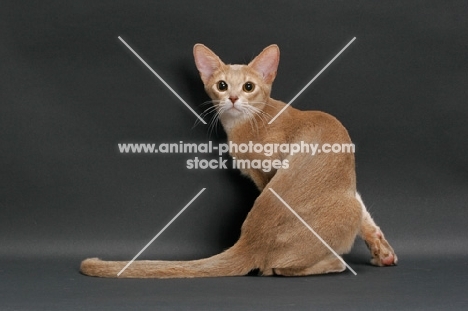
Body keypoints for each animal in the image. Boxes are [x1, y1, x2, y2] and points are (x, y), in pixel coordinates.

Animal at [81, 43, 398, 278]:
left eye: (248, 87)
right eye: (222, 85)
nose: (232, 98)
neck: (244, 124)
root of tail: (248, 244)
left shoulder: (267, 170)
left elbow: (366, 216)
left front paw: (381, 251)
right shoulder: (262, 174)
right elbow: (366, 215)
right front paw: (381, 250)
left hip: (345, 206)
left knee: (276, 268)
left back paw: (336, 261)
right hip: (346, 203)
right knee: (275, 267)